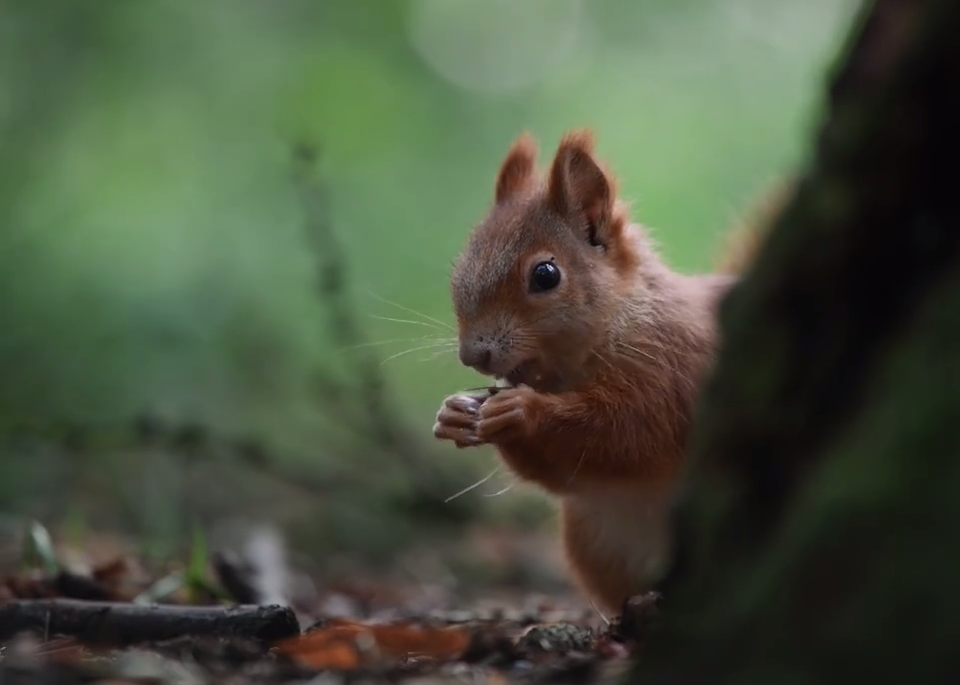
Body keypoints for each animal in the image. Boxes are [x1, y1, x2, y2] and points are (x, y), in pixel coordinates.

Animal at [432, 130, 776, 616]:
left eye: (546, 274)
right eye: (461, 268)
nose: (473, 354)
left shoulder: (675, 371)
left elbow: (633, 433)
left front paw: (523, 412)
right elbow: (566, 474)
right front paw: (454, 415)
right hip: (593, 540)